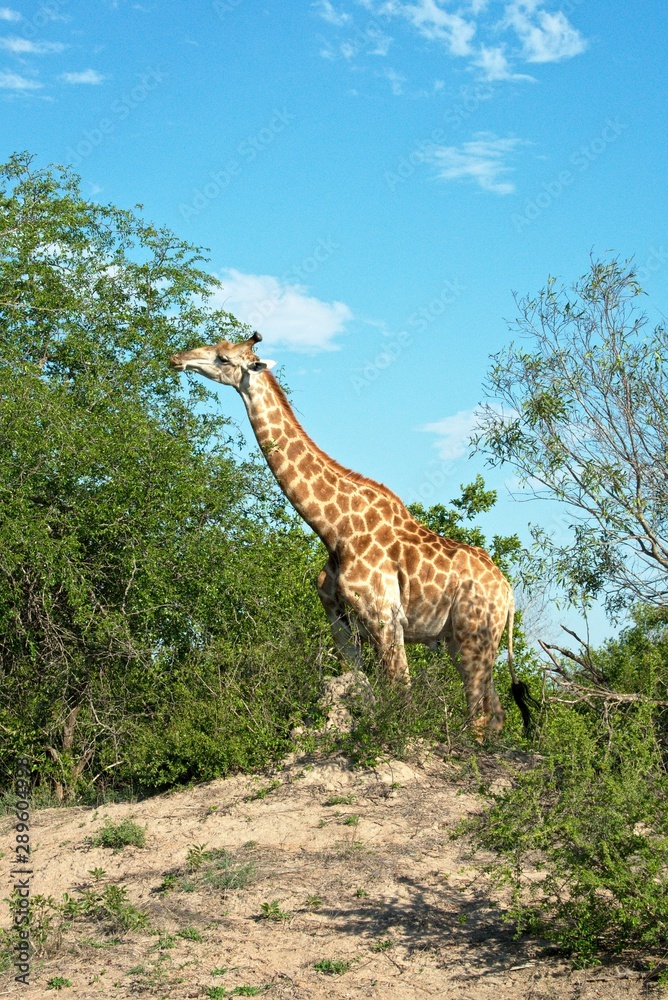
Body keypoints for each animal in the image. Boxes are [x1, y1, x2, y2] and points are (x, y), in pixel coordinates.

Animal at [170, 332, 531, 737]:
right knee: (495, 710)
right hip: (462, 640)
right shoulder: (339, 620)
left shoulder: (385, 617)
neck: (332, 529)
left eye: (223, 358)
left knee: (478, 712)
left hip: (474, 635)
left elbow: (401, 696)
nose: (177, 358)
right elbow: (356, 684)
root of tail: (508, 595)